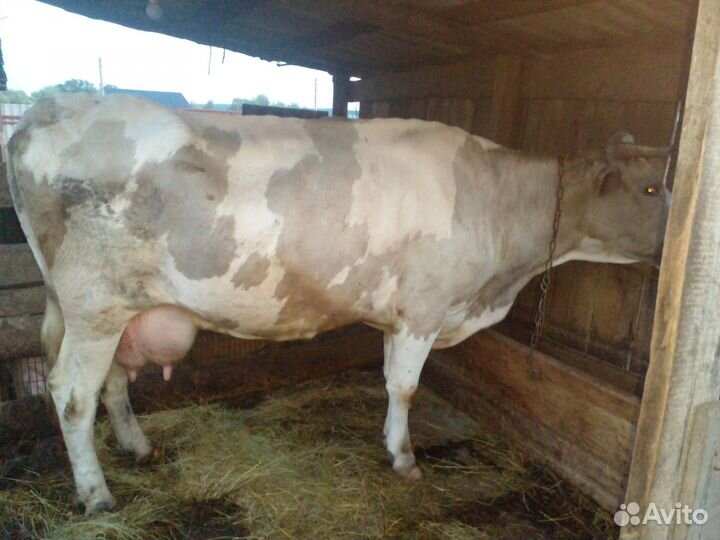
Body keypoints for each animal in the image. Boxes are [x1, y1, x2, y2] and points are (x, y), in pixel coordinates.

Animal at [6, 94, 669, 515]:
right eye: (650, 187)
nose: (680, 236)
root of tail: (49, 109)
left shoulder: (399, 315)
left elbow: (391, 381)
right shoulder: (424, 309)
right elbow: (405, 386)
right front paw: (404, 457)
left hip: (113, 310)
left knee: (112, 383)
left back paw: (137, 447)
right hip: (94, 304)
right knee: (71, 394)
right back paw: (96, 494)